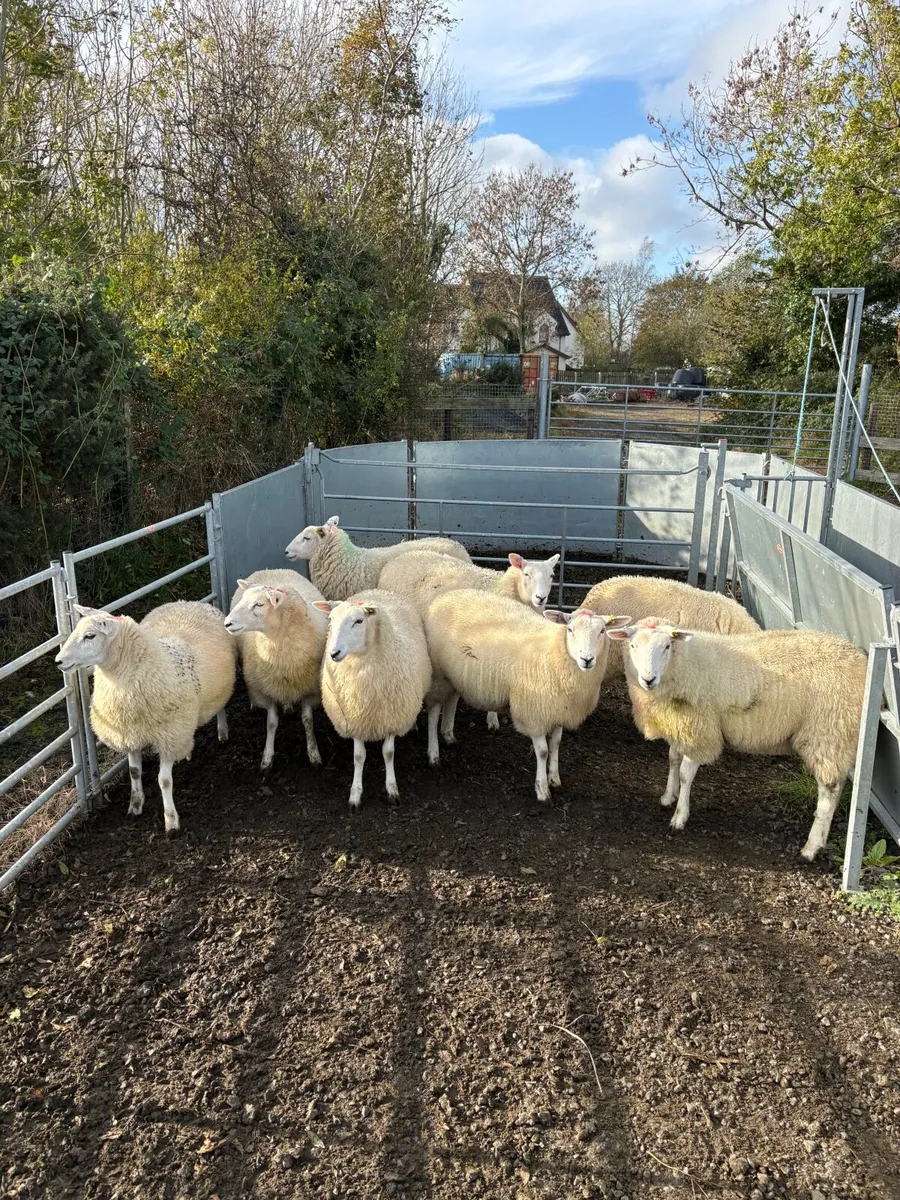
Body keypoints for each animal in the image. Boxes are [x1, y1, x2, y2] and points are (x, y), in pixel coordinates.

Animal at [55, 601, 237, 835]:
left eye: (90, 636)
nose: (58, 661)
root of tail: (190, 602)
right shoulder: (129, 733)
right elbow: (134, 772)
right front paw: (135, 805)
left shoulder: (169, 736)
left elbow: (164, 781)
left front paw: (171, 820)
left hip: (220, 689)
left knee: (220, 706)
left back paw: (222, 731)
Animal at [224, 569, 328, 771]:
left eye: (259, 604)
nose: (227, 623)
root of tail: (270, 569)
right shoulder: (266, 689)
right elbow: (271, 723)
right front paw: (267, 757)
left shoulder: (309, 689)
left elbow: (308, 721)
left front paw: (314, 754)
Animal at [313, 589, 432, 809]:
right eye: (331, 620)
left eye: (359, 621)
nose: (334, 653)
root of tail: (377, 591)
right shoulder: (355, 718)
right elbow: (359, 756)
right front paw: (355, 793)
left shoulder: (392, 717)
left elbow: (388, 753)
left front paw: (392, 789)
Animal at [424, 589, 630, 801]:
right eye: (570, 629)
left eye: (602, 631)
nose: (586, 659)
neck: (555, 653)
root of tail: (446, 595)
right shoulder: (534, 713)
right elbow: (543, 751)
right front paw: (542, 790)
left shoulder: (559, 709)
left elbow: (556, 744)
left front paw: (554, 778)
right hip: (437, 673)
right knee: (433, 711)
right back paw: (434, 754)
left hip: (454, 674)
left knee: (452, 699)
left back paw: (448, 735)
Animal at [606, 618, 868, 860]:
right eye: (632, 645)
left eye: (667, 646)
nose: (648, 679)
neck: (684, 663)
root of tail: (860, 659)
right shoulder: (681, 726)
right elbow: (672, 759)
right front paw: (668, 796)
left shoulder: (701, 730)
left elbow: (685, 774)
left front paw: (679, 817)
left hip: (828, 732)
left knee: (828, 792)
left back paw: (811, 848)